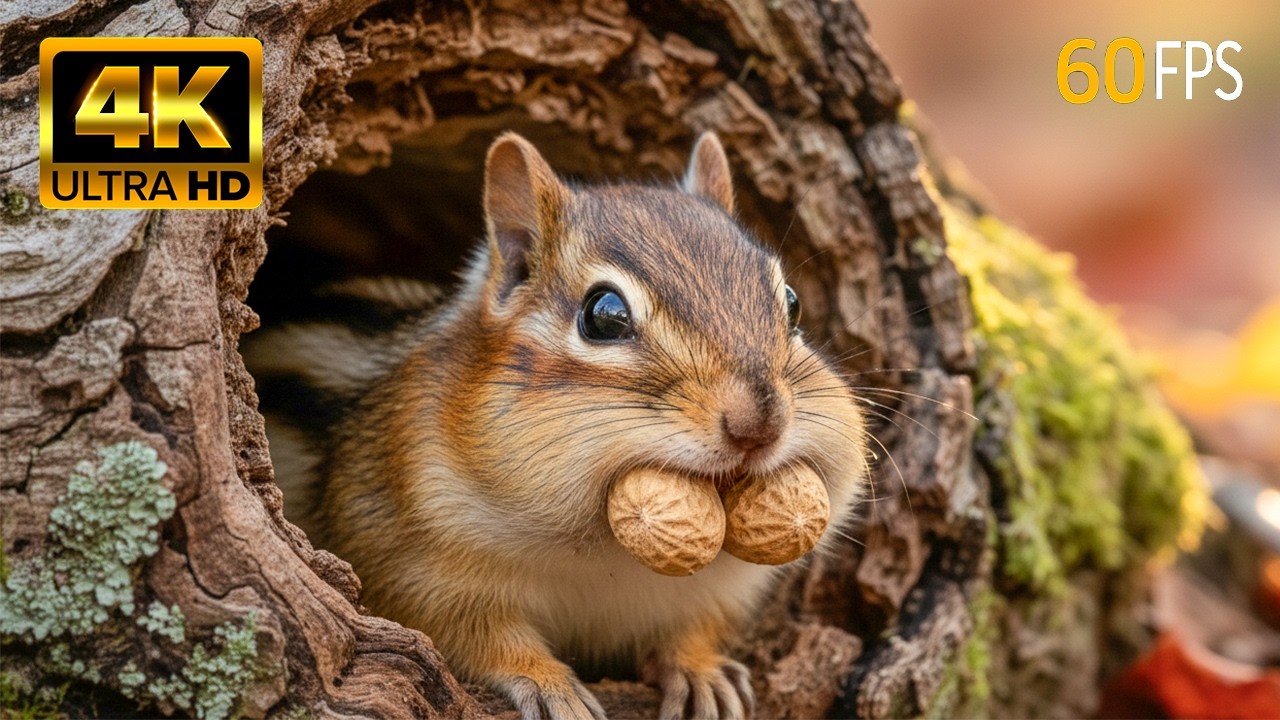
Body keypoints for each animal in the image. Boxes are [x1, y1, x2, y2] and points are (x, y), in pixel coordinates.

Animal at [244, 132, 868, 720]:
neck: (611, 557)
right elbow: (473, 638)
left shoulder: (717, 594)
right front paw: (549, 685)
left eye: (792, 303)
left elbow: (693, 630)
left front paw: (702, 671)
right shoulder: (405, 565)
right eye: (604, 315)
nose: (758, 423)